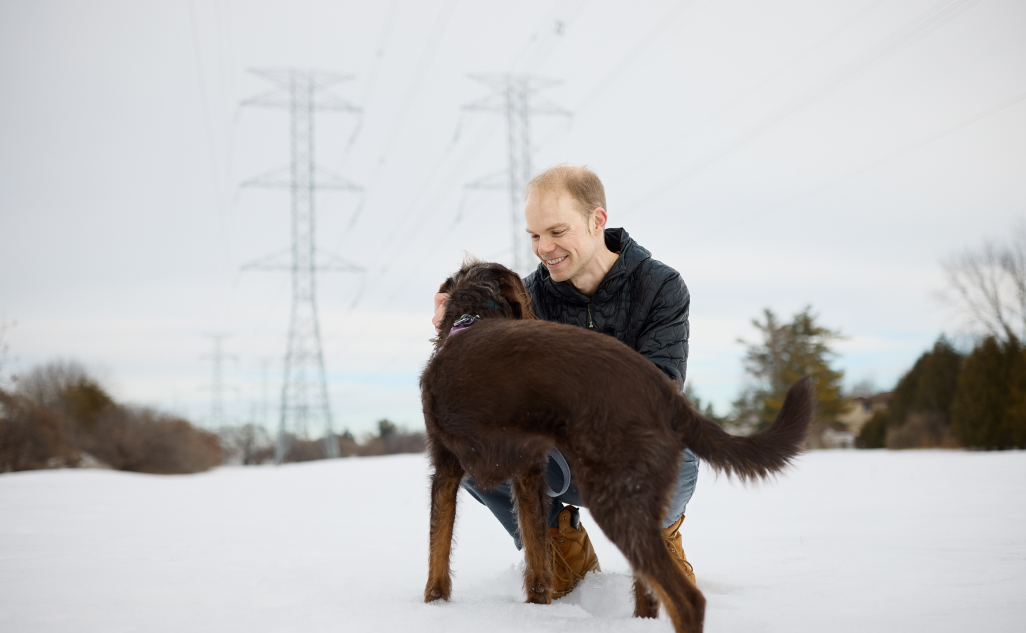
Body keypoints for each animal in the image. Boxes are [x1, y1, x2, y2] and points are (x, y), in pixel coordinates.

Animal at [420, 259, 812, 627]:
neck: (473, 317)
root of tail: (662, 392)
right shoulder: (528, 475)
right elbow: (537, 559)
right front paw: (538, 608)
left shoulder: (448, 467)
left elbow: (438, 551)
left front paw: (433, 605)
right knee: (650, 590)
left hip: (615, 496)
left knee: (687, 600)